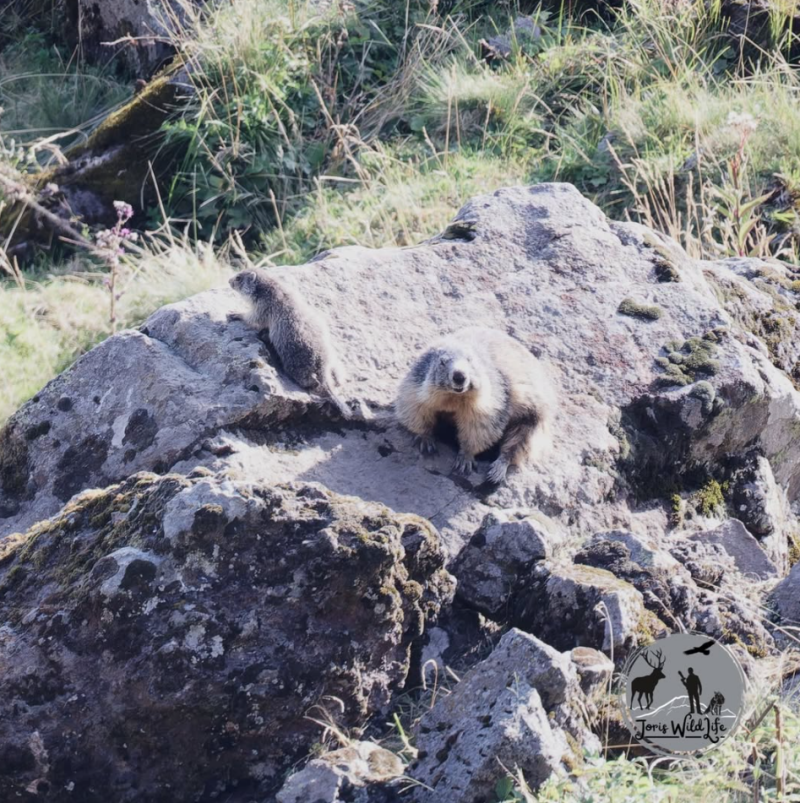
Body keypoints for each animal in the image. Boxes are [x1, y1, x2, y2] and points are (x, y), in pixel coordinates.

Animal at [229, 269, 352, 418]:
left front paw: (235, 313)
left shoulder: (263, 306)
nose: (228, 281)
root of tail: (324, 367)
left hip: (296, 364)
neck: (269, 287)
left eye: (239, 278)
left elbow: (254, 318)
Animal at [395, 327, 555, 484]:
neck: (454, 398)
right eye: (442, 362)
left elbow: (478, 428)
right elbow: (414, 408)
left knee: (519, 442)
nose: (459, 375)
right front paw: (425, 439)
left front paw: (465, 458)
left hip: (533, 416)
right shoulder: (416, 386)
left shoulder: (490, 403)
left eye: (470, 360)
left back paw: (497, 469)